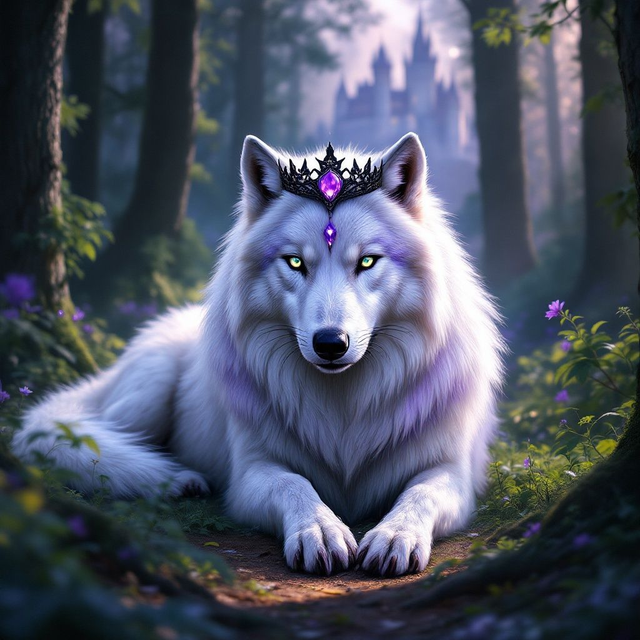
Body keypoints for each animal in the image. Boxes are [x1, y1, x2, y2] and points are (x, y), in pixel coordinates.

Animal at [13, 133, 504, 577]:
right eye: (295, 262)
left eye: (367, 262)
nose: (330, 343)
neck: (343, 409)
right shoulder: (250, 474)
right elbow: (294, 482)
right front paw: (319, 529)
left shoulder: (453, 471)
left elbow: (419, 494)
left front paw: (394, 535)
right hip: (147, 393)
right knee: (98, 445)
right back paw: (173, 479)